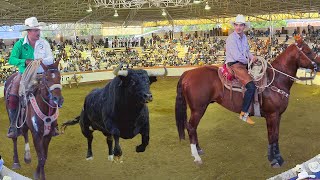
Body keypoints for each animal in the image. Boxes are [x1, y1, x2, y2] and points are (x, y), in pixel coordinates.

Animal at [175, 42, 318, 167]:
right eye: (308, 51)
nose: (318, 64)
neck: (275, 80)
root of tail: (187, 73)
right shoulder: (272, 115)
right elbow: (271, 136)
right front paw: (273, 160)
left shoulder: (278, 115)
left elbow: (276, 136)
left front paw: (278, 158)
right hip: (198, 109)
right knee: (191, 127)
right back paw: (196, 157)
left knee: (193, 128)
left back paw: (199, 150)